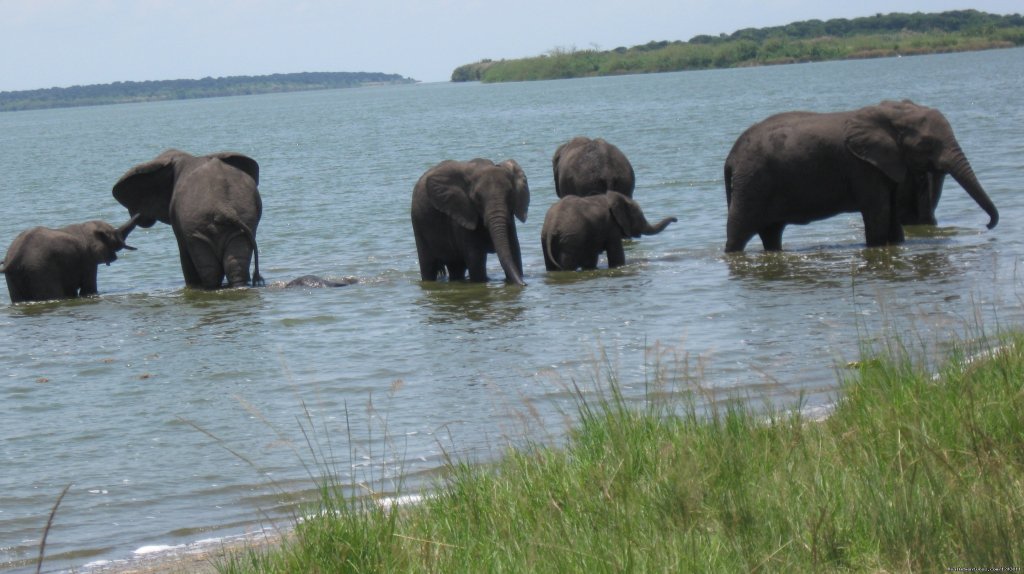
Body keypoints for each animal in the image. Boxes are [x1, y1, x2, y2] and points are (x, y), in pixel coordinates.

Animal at [1, 215, 139, 304]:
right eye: (115, 234)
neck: (86, 227)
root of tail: (14, 258)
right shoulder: (88, 259)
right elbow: (88, 289)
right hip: (39, 269)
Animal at [112, 150, 264, 288]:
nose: (137, 214)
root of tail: (223, 208)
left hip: (197, 228)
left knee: (209, 269)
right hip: (243, 219)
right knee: (234, 263)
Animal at [540, 190, 675, 270]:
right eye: (639, 216)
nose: (676, 219)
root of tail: (552, 225)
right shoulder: (611, 227)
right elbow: (616, 255)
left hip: (546, 238)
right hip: (571, 238)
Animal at [720, 99, 999, 251]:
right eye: (926, 144)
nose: (987, 225)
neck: (893, 115)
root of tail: (730, 157)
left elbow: (892, 216)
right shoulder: (863, 167)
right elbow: (879, 214)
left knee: (772, 234)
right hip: (752, 182)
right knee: (739, 233)